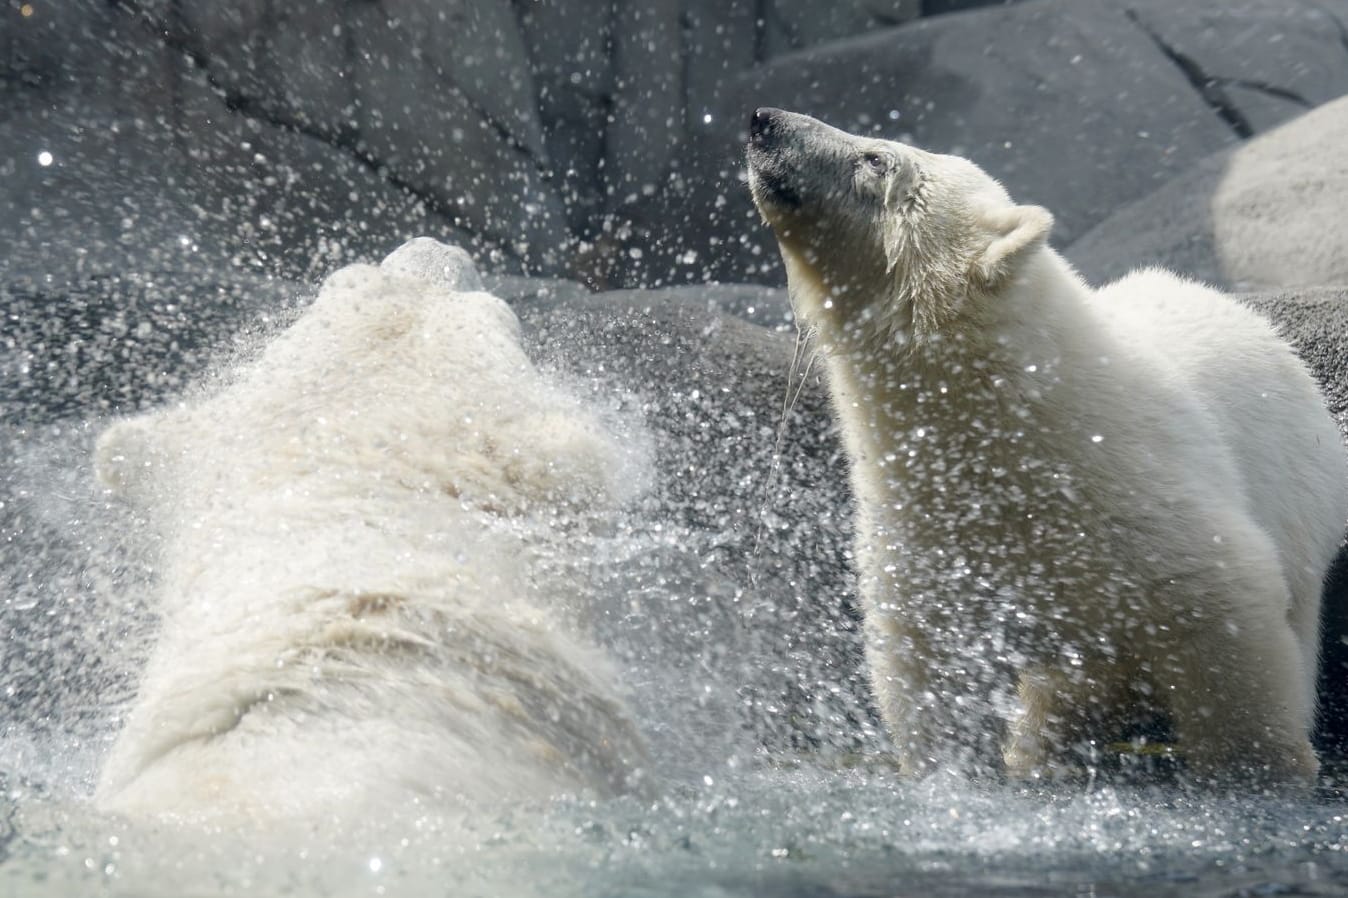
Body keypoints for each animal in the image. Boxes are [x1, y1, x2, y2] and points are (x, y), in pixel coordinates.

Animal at [749, 106, 1348, 782]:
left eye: (877, 159)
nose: (764, 121)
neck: (1012, 427)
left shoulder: (1140, 498)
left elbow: (1227, 611)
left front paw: (1261, 769)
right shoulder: (929, 524)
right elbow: (930, 656)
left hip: (1304, 510)